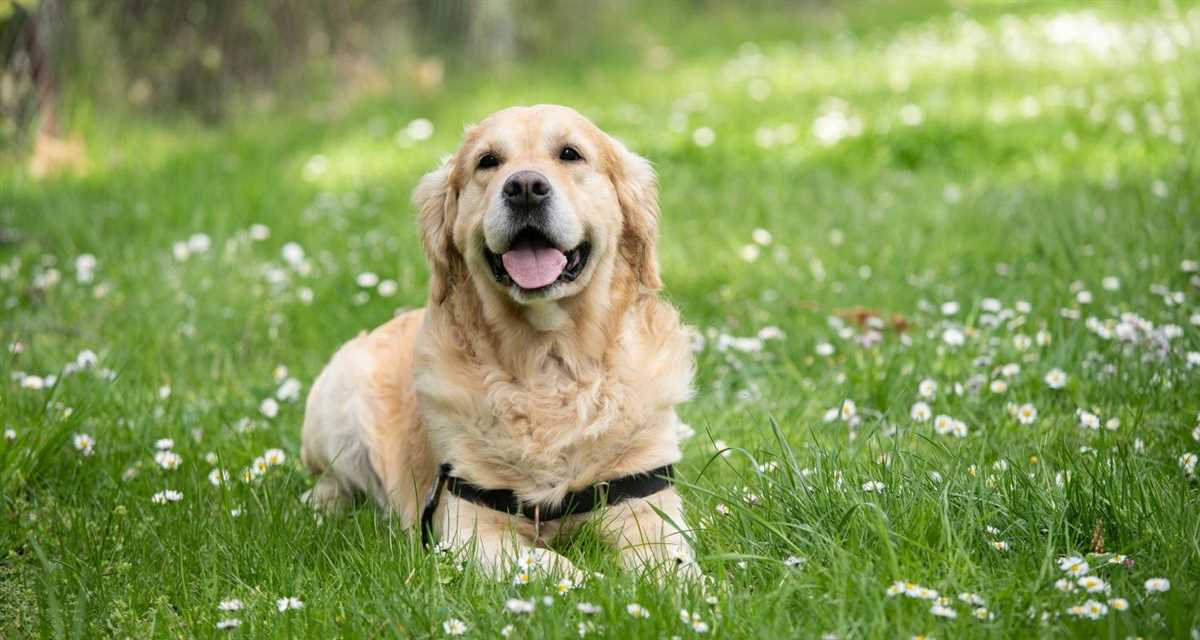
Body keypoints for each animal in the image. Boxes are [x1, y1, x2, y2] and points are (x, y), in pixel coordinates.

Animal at [300, 105, 696, 578]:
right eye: (488, 161)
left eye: (570, 154)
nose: (525, 187)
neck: (549, 362)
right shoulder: (468, 528)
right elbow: (552, 565)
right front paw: (595, 583)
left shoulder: (644, 502)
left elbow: (671, 563)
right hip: (337, 398)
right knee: (331, 479)